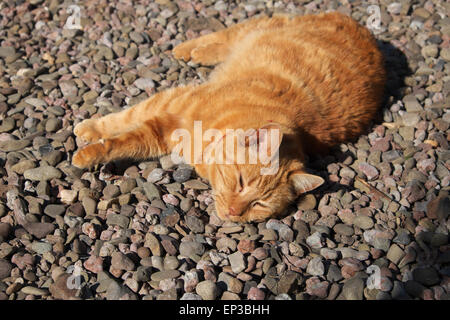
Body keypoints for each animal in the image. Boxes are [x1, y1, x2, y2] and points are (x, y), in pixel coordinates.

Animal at [73, 11, 386, 222]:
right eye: (241, 182)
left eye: (259, 204)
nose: (235, 211)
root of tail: (365, 30)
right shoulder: (171, 103)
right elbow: (123, 121)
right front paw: (89, 139)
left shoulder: (161, 129)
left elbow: (129, 140)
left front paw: (92, 147)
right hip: (259, 28)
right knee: (228, 34)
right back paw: (189, 49)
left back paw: (198, 53)